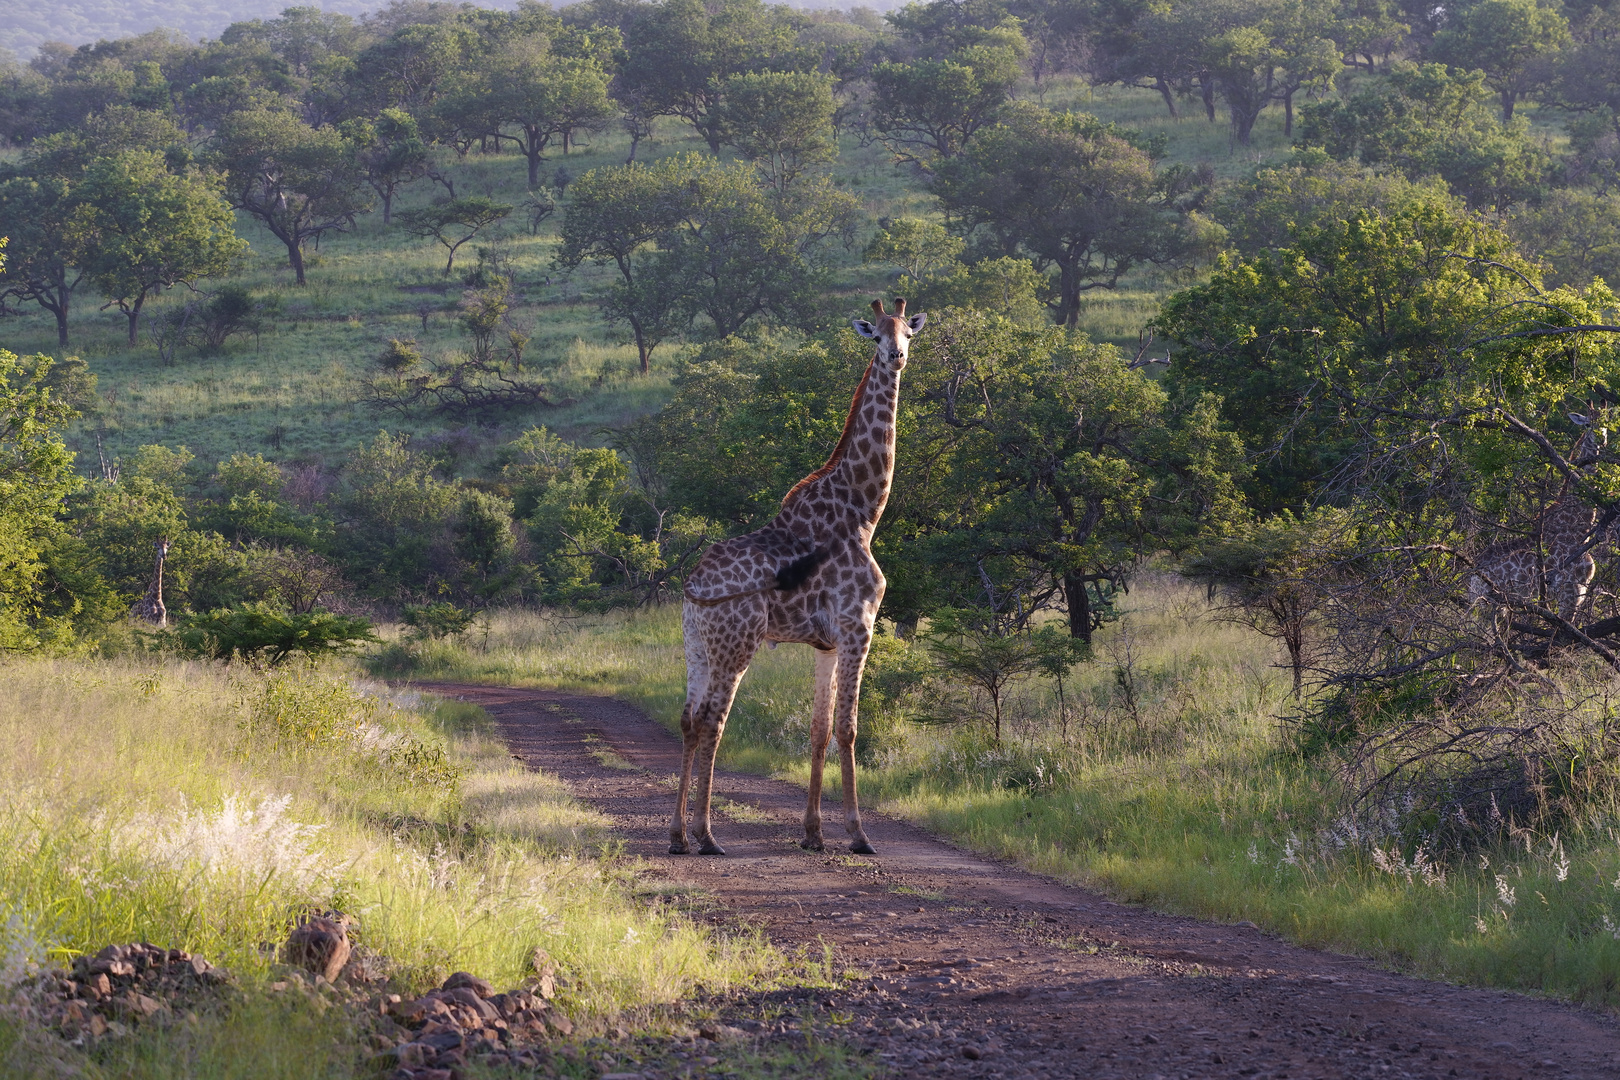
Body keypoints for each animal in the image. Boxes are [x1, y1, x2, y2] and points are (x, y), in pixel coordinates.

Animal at [667, 296, 926, 854]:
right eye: (877, 335)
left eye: (908, 333)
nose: (895, 356)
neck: (864, 510)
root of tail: (692, 588)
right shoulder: (858, 627)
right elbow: (849, 728)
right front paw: (857, 833)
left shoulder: (826, 643)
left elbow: (818, 729)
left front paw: (813, 834)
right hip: (736, 644)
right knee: (713, 721)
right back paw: (707, 835)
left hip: (697, 645)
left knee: (688, 719)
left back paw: (677, 835)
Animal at [1470, 417, 1607, 621]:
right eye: (1587, 424)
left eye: (1606, 424)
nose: (1601, 440)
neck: (1577, 529)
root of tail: (1472, 573)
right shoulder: (1570, 589)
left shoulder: (1580, 591)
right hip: (1482, 602)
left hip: (1499, 606)